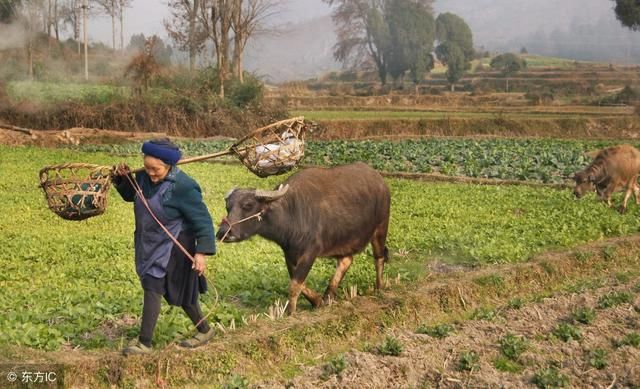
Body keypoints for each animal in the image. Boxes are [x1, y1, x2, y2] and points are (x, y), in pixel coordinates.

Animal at [215, 162, 390, 314]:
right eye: (228, 206)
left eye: (248, 205)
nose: (223, 233)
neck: (292, 214)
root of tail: (380, 180)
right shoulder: (289, 253)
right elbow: (298, 281)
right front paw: (317, 301)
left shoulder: (310, 252)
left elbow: (294, 284)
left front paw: (290, 312)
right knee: (346, 261)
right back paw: (328, 296)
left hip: (381, 229)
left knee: (379, 258)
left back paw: (379, 288)